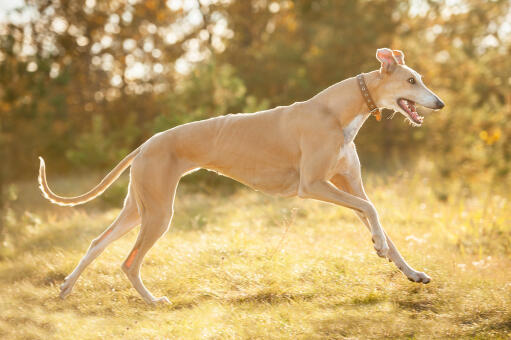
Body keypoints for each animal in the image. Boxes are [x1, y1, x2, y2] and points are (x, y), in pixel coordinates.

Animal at [40, 47, 446, 302]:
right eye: (411, 81)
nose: (440, 103)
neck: (337, 111)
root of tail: (144, 145)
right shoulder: (313, 185)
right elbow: (373, 211)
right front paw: (379, 247)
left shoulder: (348, 186)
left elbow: (377, 220)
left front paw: (411, 272)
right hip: (158, 212)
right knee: (129, 262)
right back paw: (153, 301)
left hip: (138, 208)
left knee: (97, 243)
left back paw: (66, 288)